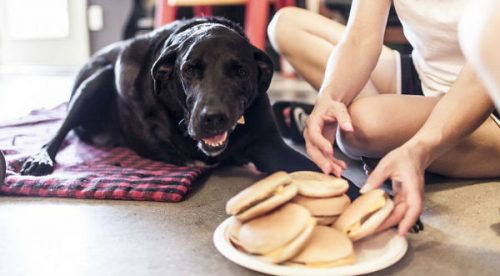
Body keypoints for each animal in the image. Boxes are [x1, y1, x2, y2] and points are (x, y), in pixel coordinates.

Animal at [20, 17, 320, 176]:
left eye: (241, 71)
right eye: (188, 70)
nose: (212, 118)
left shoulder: (269, 145)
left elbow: (322, 174)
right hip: (96, 81)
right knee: (58, 132)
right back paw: (40, 159)